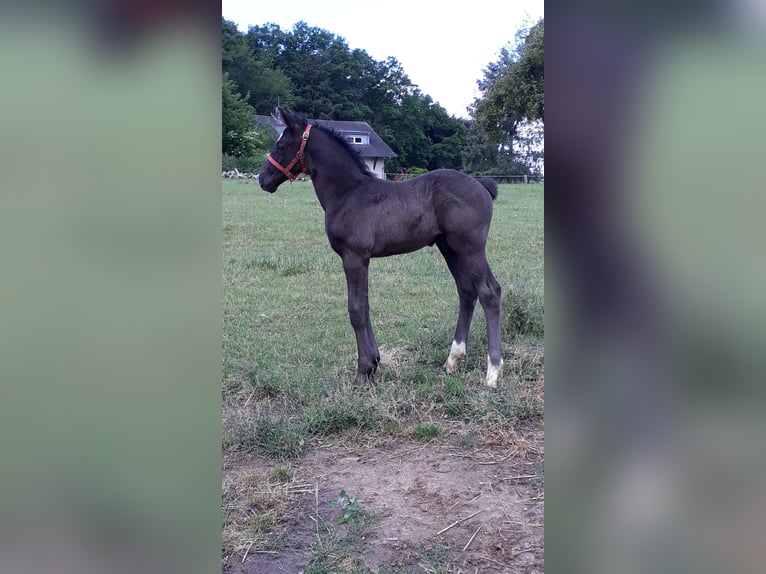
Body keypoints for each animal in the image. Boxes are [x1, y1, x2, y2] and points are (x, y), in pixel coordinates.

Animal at [259, 108, 503, 387]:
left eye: (281, 146)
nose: (262, 178)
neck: (348, 193)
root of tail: (482, 185)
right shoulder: (362, 259)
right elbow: (364, 306)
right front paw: (374, 363)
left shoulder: (353, 256)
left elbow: (355, 310)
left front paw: (363, 371)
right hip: (449, 248)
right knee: (466, 291)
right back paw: (452, 361)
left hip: (470, 248)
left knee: (489, 292)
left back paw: (493, 372)